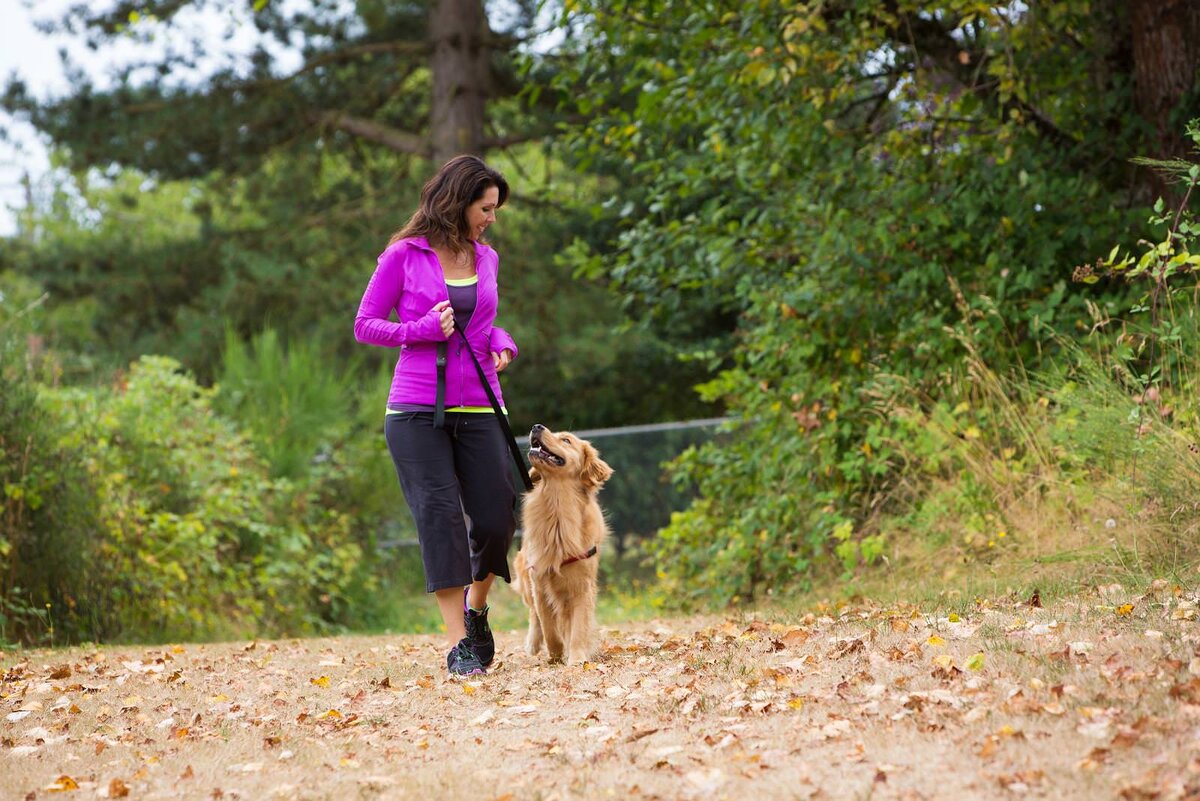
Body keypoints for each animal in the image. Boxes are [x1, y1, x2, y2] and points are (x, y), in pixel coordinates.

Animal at [511, 422, 614, 666]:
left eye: (566, 440)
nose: (536, 426)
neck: (557, 506)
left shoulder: (582, 586)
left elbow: (578, 627)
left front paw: (576, 657)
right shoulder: (539, 579)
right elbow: (548, 626)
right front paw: (556, 654)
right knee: (534, 615)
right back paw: (533, 643)